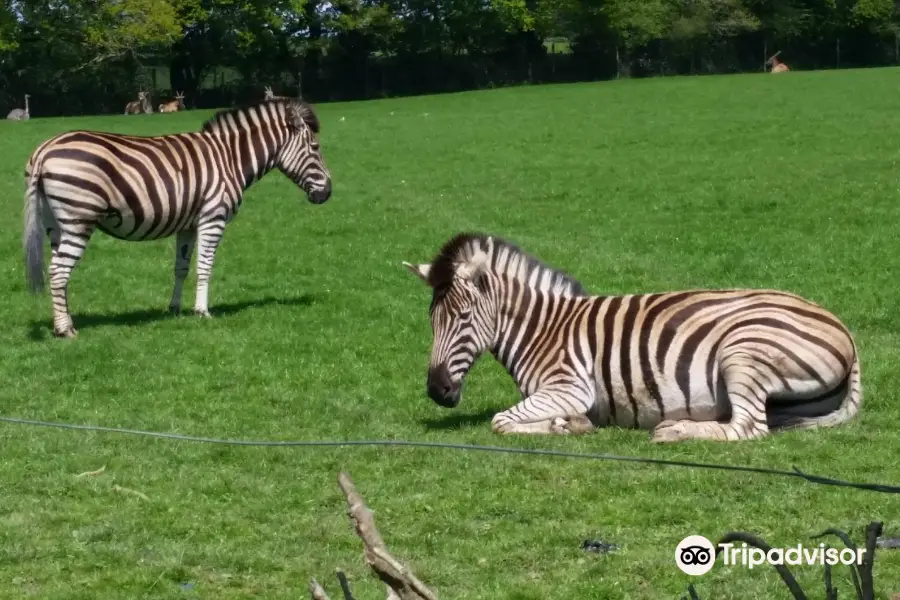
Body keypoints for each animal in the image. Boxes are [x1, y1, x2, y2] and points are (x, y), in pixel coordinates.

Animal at [22, 96, 332, 336]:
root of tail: (44, 150)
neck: (230, 158)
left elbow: (181, 268)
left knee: (58, 274)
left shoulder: (189, 225)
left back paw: (65, 321)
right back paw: (65, 330)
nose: (327, 193)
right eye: (316, 148)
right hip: (78, 221)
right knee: (59, 272)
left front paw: (174, 308)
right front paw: (202, 312)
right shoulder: (212, 218)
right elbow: (205, 267)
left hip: (55, 225)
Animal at [404, 232, 860, 442]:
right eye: (431, 321)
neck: (542, 330)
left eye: (463, 317)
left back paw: (676, 431)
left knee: (748, 427)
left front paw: (566, 426)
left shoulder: (570, 387)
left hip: (742, 352)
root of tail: (845, 332)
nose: (436, 392)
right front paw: (569, 424)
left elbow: (500, 422)